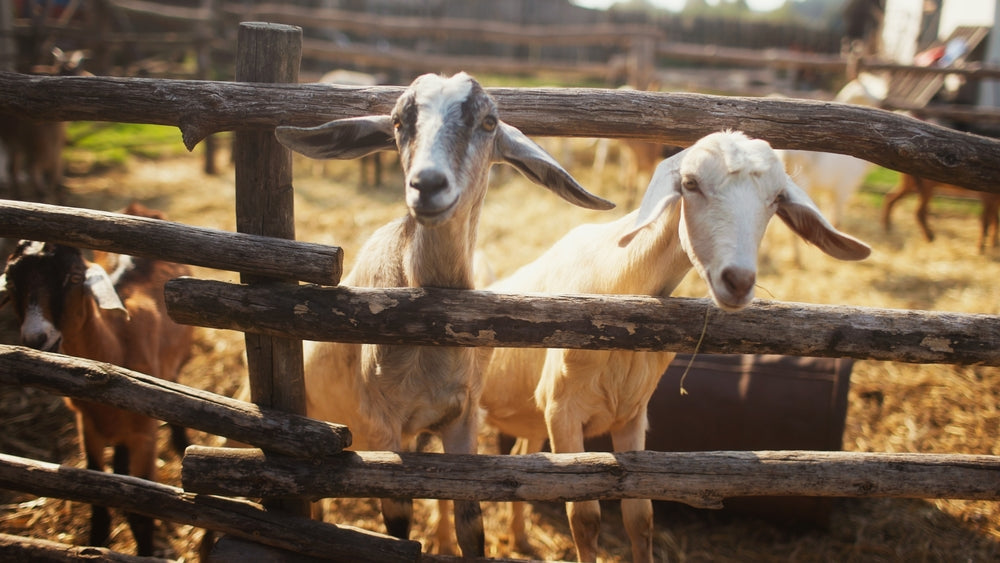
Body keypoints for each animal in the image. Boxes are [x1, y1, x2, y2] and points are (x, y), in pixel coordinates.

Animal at [0, 202, 195, 556]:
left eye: (74, 277)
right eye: (11, 284)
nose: (37, 337)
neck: (116, 345)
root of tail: (138, 208)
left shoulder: (145, 436)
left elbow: (142, 514)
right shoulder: (86, 425)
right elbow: (97, 498)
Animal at [274, 71, 613, 557]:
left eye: (488, 122)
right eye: (399, 122)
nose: (428, 184)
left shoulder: (462, 417)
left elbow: (471, 524)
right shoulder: (382, 426)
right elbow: (398, 525)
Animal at [480, 130, 871, 562]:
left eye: (775, 199)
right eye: (691, 184)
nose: (738, 281)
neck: (618, 286)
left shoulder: (631, 415)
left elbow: (639, 516)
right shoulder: (562, 410)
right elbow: (584, 518)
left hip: (531, 418)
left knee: (521, 463)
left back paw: (519, 539)